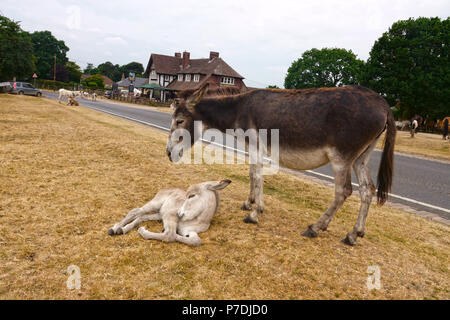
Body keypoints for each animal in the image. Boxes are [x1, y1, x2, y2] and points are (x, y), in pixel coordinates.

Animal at [167, 83, 396, 245]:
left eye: (179, 121)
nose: (169, 154)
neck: (238, 109)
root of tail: (382, 103)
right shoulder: (252, 148)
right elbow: (252, 174)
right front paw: (249, 203)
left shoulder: (256, 146)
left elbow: (257, 176)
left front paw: (254, 213)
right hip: (361, 157)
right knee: (367, 190)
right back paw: (354, 234)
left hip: (341, 158)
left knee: (344, 191)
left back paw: (315, 227)